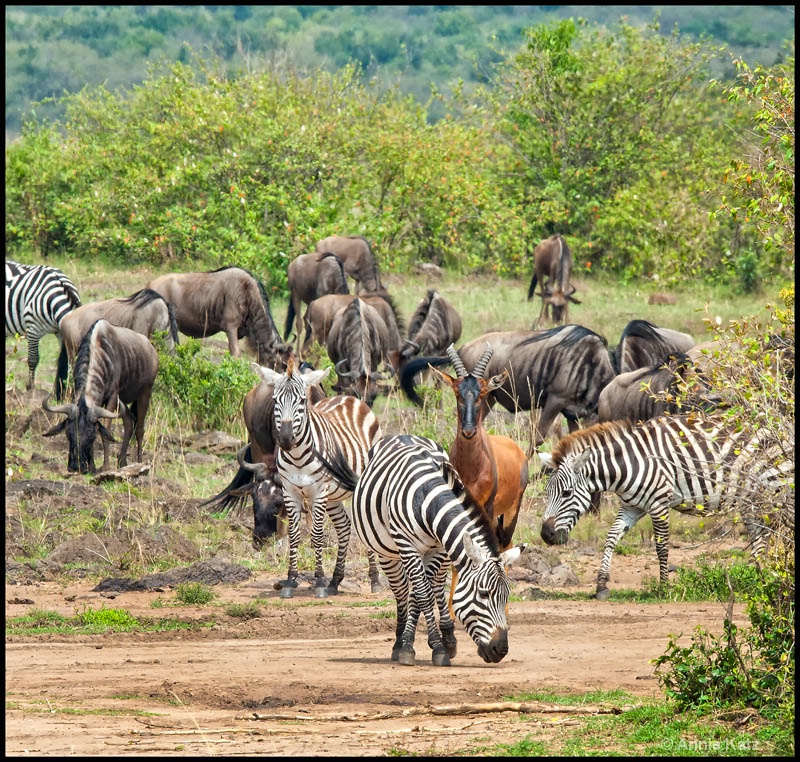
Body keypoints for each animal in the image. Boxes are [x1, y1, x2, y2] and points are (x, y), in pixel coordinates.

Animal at [250, 360, 384, 596]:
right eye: (275, 400)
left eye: (302, 401)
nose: (286, 439)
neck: (297, 457)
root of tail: (349, 398)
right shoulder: (291, 491)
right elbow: (294, 535)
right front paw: (291, 580)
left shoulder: (318, 492)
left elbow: (317, 535)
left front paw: (319, 581)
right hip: (333, 496)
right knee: (344, 526)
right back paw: (335, 581)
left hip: (359, 485)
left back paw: (375, 580)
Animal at [318, 434, 524, 664]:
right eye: (484, 593)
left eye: (506, 596)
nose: (501, 650)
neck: (427, 499)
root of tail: (401, 435)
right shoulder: (408, 545)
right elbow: (422, 593)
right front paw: (421, 647)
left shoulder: (441, 548)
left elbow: (423, 591)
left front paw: (437, 643)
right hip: (387, 552)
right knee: (401, 591)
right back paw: (399, 642)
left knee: (435, 585)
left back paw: (448, 638)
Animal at [536, 412, 792, 596]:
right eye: (547, 493)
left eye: (567, 493)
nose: (546, 535)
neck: (629, 463)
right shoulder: (632, 507)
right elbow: (611, 538)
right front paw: (601, 585)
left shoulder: (659, 503)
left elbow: (661, 547)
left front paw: (664, 587)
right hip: (753, 500)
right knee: (760, 536)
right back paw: (758, 578)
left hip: (775, 488)